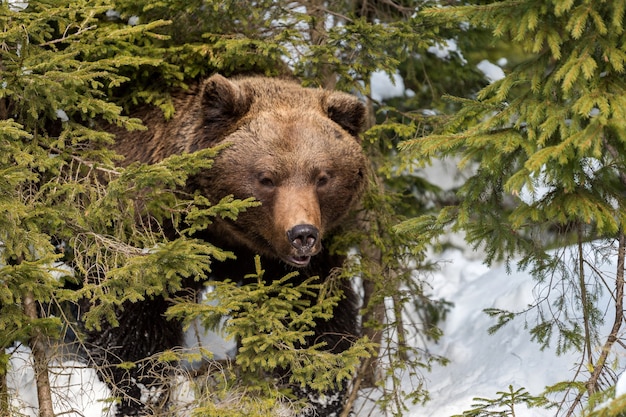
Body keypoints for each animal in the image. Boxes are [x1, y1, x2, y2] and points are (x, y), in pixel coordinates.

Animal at [90, 75, 368, 416]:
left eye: (322, 177)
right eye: (267, 178)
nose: (302, 234)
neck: (227, 236)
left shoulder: (298, 266)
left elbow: (314, 319)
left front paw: (316, 393)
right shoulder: (154, 234)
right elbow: (134, 317)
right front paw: (143, 391)